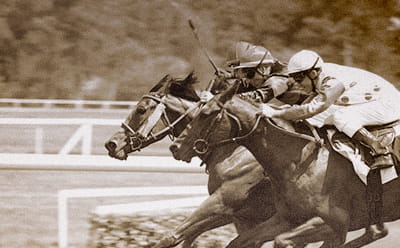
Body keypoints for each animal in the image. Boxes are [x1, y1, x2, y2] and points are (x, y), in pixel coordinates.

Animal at [104, 72, 276, 248]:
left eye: (141, 110)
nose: (111, 144)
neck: (234, 151)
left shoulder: (222, 203)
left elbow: (172, 236)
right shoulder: (238, 215)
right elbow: (189, 237)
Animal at [170, 82, 400, 247]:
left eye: (205, 114)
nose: (175, 147)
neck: (299, 162)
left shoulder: (334, 224)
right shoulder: (284, 218)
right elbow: (241, 241)